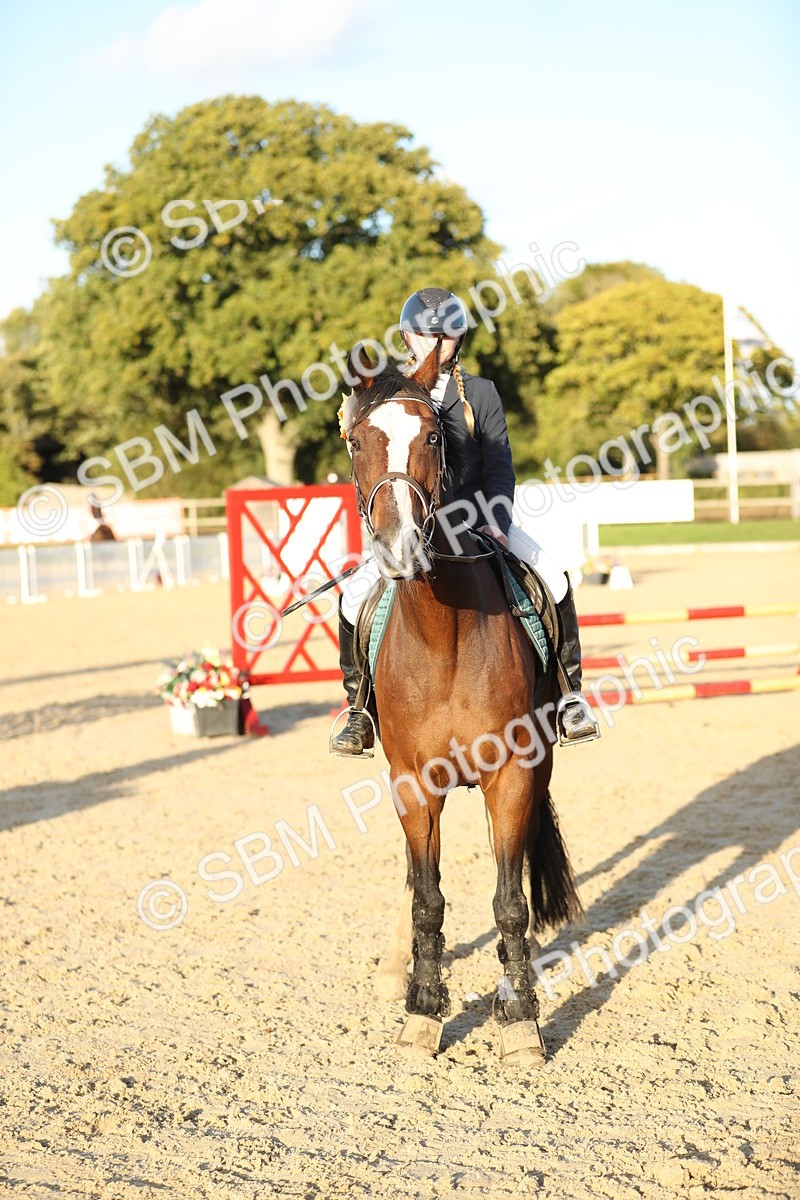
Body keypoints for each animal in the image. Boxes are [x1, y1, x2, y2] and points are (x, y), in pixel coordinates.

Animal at [340, 344, 582, 1062]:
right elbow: (427, 896)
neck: (441, 636)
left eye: (432, 437)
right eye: (357, 440)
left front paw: (521, 1019)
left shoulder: (513, 776)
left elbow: (509, 901)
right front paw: (422, 1011)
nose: (399, 548)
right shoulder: (412, 783)